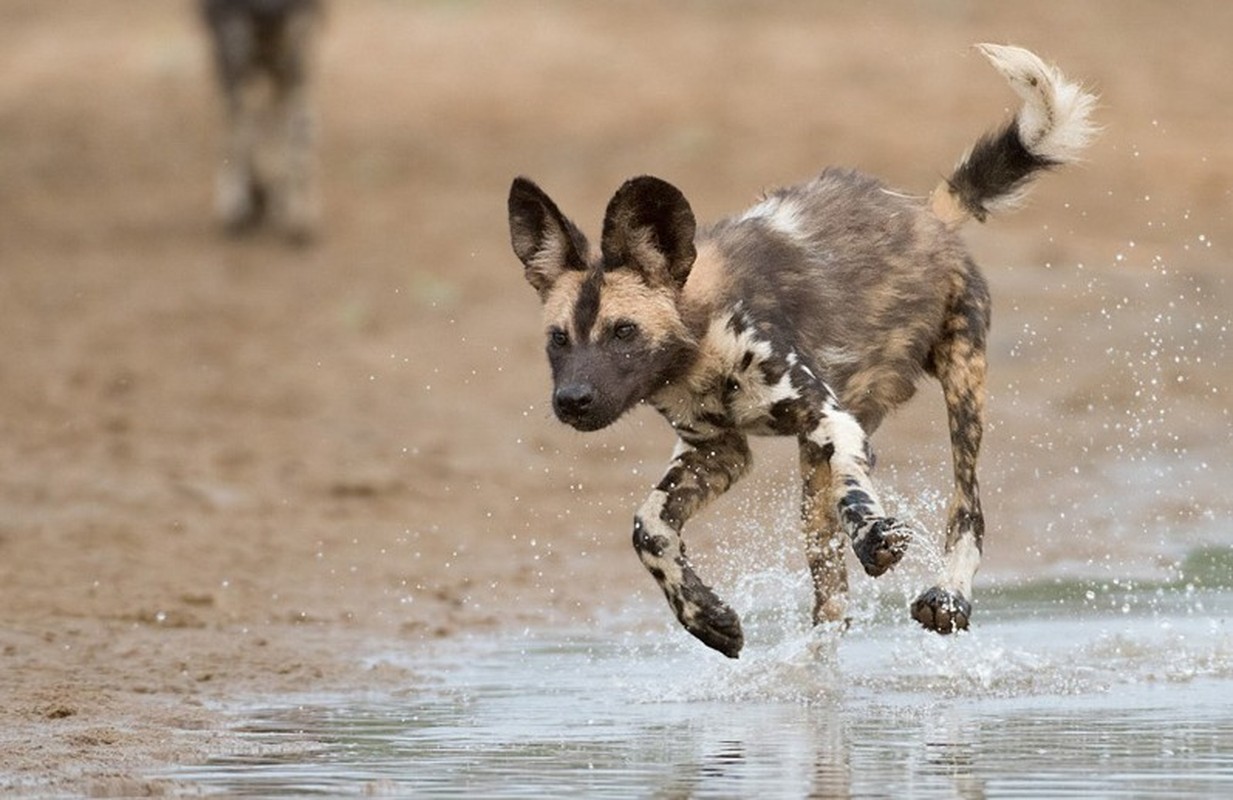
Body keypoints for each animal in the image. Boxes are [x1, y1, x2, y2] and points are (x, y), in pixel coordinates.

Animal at [199, 0, 320, 242]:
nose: (268, 13)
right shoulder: (233, 49)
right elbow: (239, 134)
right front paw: (241, 202)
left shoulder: (293, 53)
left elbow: (294, 133)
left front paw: (294, 210)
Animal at [505, 45, 1104, 655]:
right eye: (558, 340)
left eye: (624, 332)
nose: (572, 400)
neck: (700, 350)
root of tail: (925, 214)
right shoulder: (718, 451)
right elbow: (647, 528)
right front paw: (705, 617)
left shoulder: (828, 418)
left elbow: (857, 492)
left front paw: (875, 536)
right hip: (814, 473)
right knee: (831, 593)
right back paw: (814, 661)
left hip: (960, 389)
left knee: (967, 506)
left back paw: (947, 597)